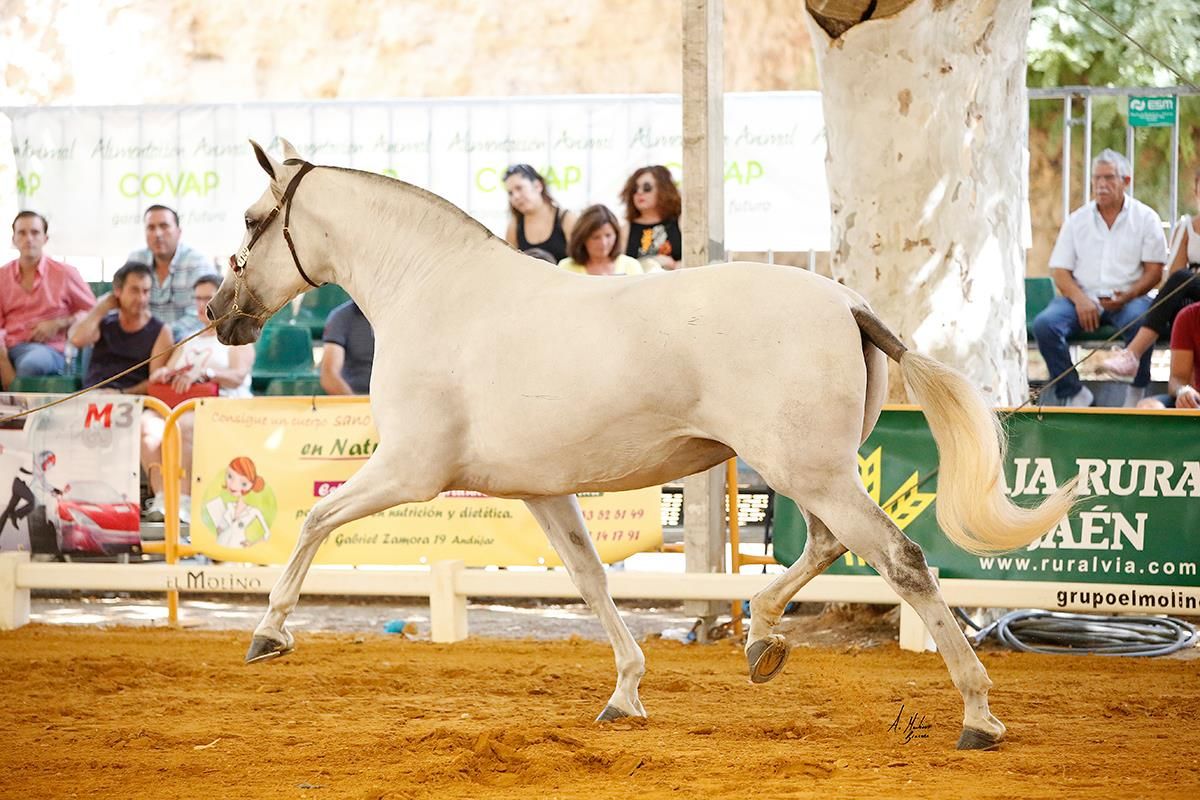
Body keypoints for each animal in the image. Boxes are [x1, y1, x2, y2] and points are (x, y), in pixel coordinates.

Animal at [208, 142, 1080, 753]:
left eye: (251, 221)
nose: (221, 314)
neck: (434, 292)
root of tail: (848, 302)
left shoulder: (408, 470)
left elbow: (315, 524)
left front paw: (269, 634)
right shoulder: (542, 490)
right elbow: (592, 579)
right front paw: (625, 694)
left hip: (813, 473)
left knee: (901, 561)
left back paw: (978, 714)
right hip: (810, 473)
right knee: (829, 547)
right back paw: (762, 639)